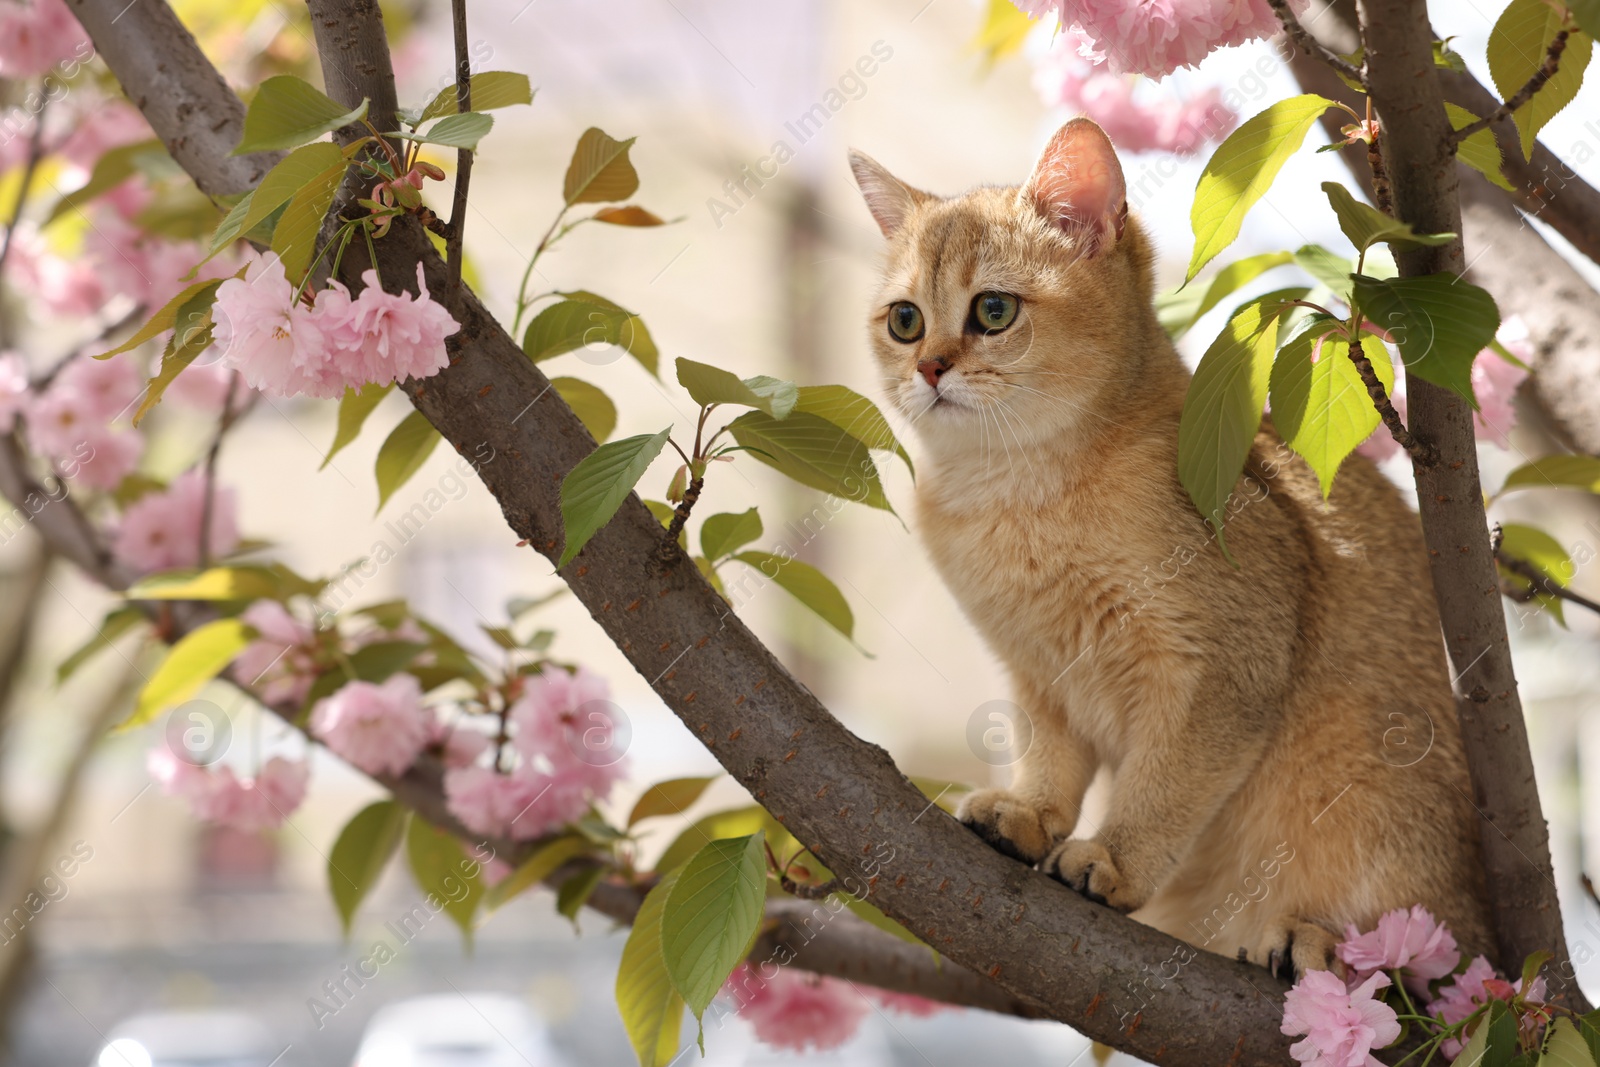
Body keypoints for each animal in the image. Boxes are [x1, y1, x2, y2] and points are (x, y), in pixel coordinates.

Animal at [857, 120, 1491, 979]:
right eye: (905, 321)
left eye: (992, 309)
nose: (927, 367)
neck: (1013, 496)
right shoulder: (1040, 673)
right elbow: (1053, 760)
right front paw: (1030, 814)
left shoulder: (1228, 666)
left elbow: (1166, 785)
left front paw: (1114, 858)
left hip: (1384, 797)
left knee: (1430, 949)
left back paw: (1324, 941)